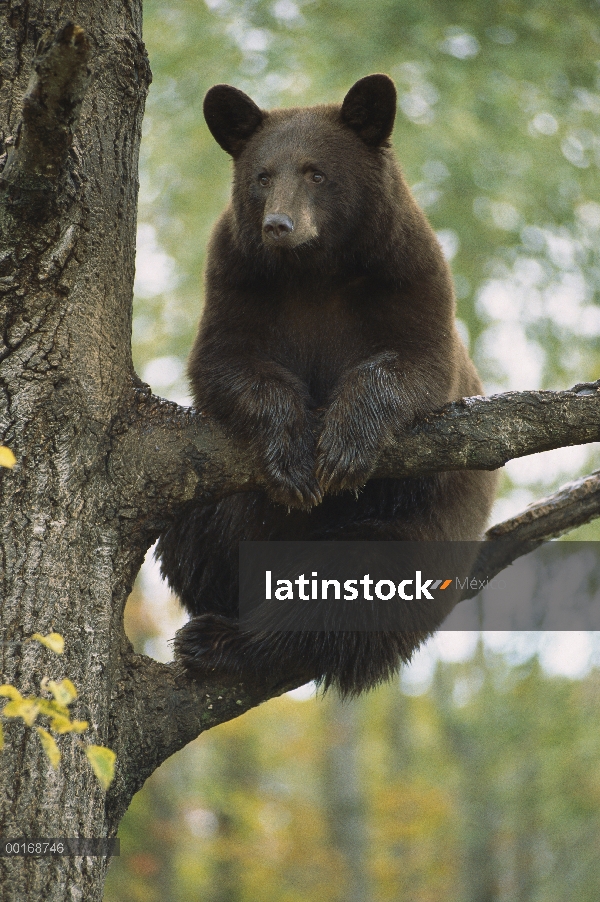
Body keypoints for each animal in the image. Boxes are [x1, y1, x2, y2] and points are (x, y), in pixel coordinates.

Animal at [157, 76, 500, 700]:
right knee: (195, 530)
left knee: (345, 588)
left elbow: (416, 365)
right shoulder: (236, 279)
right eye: (262, 175)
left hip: (414, 534)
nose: (279, 225)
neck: (314, 272)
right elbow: (227, 363)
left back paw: (227, 643)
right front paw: (292, 455)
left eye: (317, 172)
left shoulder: (410, 274)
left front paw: (343, 446)